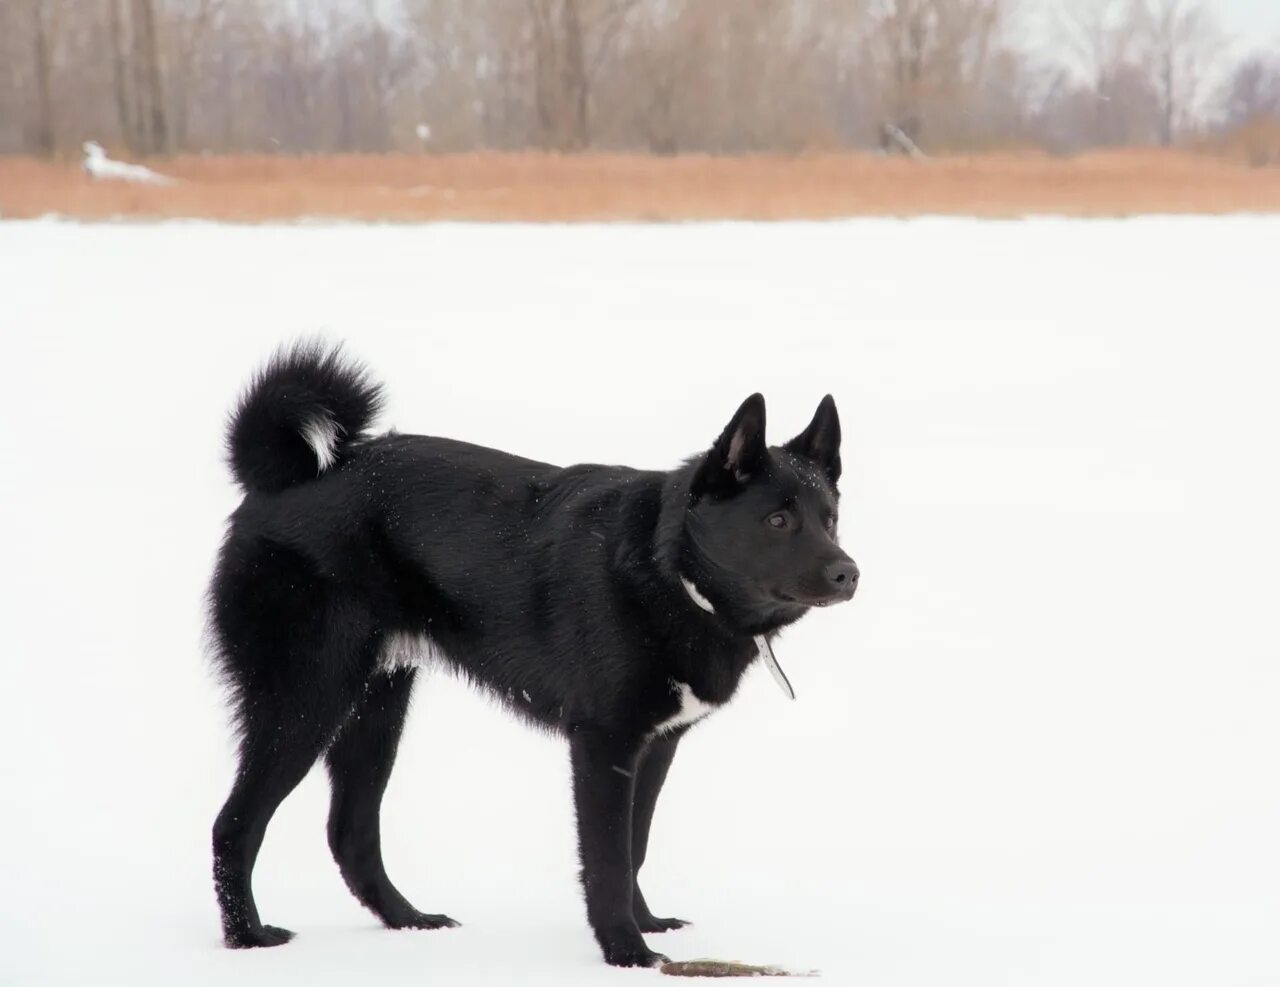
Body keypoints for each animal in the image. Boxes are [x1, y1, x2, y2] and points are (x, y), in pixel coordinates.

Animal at [209, 343, 860, 967]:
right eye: (777, 520)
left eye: (829, 519)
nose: (848, 573)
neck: (669, 571)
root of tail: (290, 479)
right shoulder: (603, 744)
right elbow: (607, 858)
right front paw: (627, 953)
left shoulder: (654, 747)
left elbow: (635, 846)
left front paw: (646, 925)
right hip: (306, 701)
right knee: (234, 825)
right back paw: (247, 937)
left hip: (376, 706)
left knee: (349, 833)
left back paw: (409, 922)